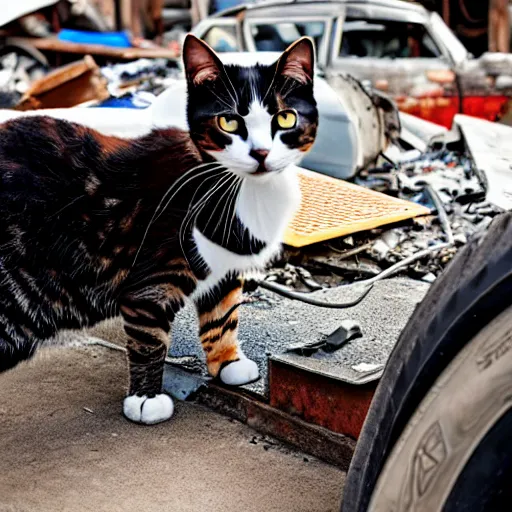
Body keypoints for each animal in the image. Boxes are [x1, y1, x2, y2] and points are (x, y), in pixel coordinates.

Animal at [0, 35, 318, 424]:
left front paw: (227, 362)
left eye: (285, 117)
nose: (260, 153)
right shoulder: (150, 282)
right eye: (228, 122)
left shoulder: (225, 269)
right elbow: (149, 340)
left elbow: (224, 315)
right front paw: (146, 398)